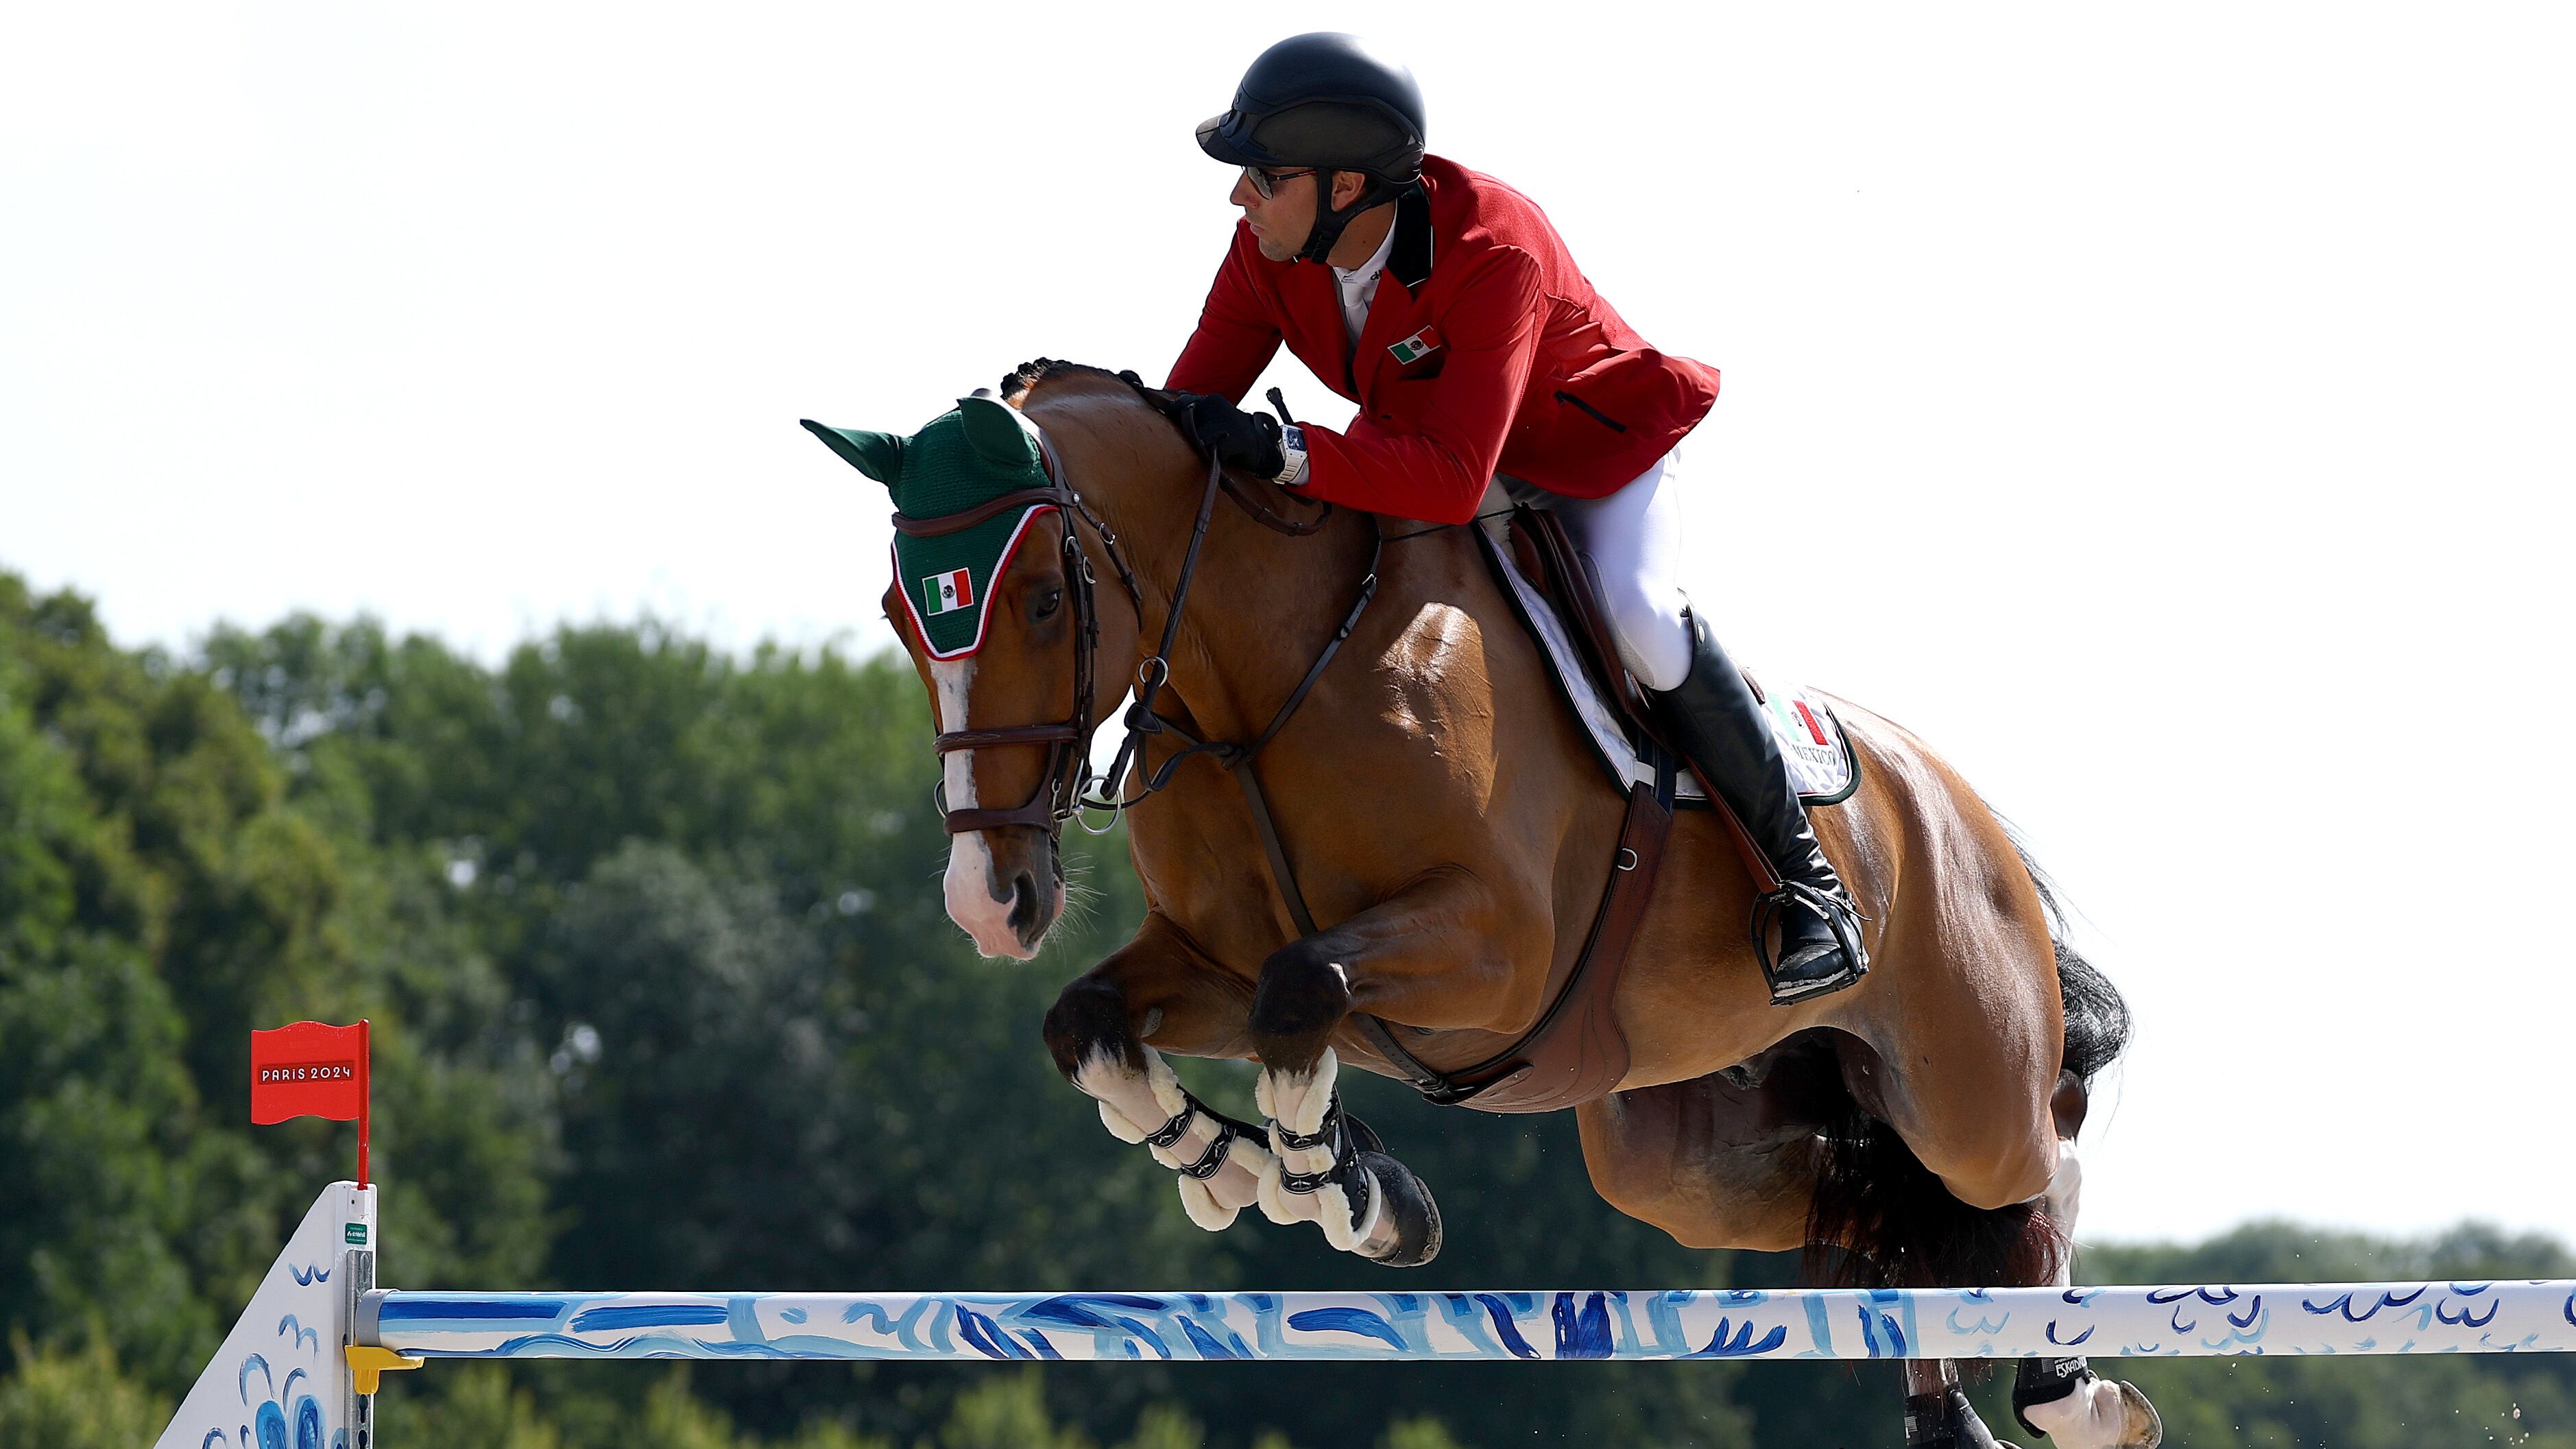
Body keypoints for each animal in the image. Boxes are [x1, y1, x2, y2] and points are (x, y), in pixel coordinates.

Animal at [810, 359, 2157, 1449]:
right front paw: (1240, 1165)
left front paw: (1335, 1184)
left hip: (1956, 1077)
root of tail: (1956, 805)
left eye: (1043, 599)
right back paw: (1950, 1412)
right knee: (1882, 1218)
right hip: (1684, 1157)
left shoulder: (1494, 953)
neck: (1269, 681)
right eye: (898, 614)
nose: (990, 903)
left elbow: (1304, 990)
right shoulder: (1208, 961)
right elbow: (1096, 1023)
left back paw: (2072, 1389)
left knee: (2029, 1158)